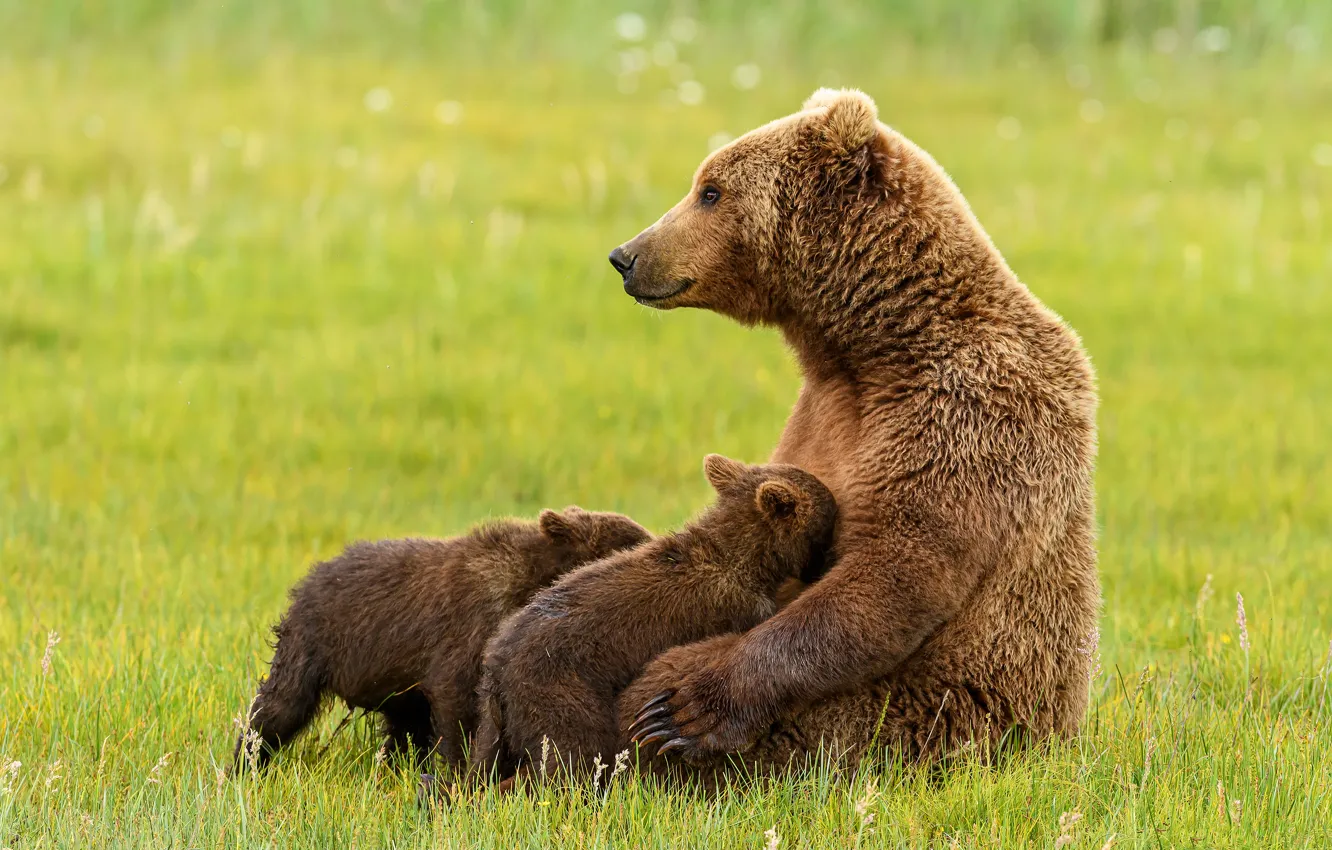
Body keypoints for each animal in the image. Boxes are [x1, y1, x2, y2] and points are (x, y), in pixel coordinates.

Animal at [234, 507, 651, 773]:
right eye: (635, 541)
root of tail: (307, 580)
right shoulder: (465, 634)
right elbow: (457, 706)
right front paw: (458, 765)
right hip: (314, 643)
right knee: (280, 706)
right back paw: (244, 763)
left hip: (395, 684)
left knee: (403, 727)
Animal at [472, 455, 837, 787]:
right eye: (827, 527)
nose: (823, 565)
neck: (743, 558)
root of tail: (497, 671)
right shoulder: (737, 606)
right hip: (559, 688)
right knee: (570, 758)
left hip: (494, 717)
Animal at [606, 87, 1100, 775]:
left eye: (710, 190)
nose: (626, 256)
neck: (873, 346)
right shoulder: (821, 409)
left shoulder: (965, 415)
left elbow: (893, 569)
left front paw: (687, 710)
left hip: (934, 714)